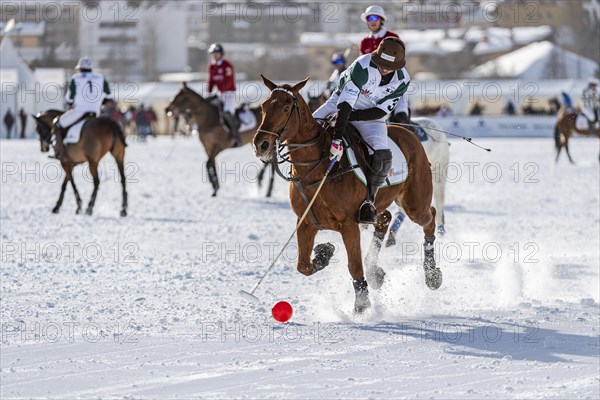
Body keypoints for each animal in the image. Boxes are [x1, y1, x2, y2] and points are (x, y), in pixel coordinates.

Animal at [253, 75, 440, 312]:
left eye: (286, 108)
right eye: (263, 107)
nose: (261, 144)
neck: (316, 167)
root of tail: (409, 132)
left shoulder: (348, 225)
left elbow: (354, 265)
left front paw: (361, 304)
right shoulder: (305, 222)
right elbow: (302, 265)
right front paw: (324, 253)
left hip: (414, 202)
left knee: (430, 217)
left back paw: (432, 275)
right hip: (380, 204)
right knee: (385, 219)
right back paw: (376, 272)